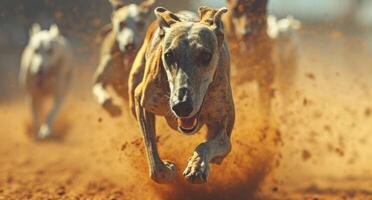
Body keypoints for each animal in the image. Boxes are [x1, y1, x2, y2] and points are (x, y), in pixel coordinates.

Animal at [128, 6, 232, 184]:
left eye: (206, 56)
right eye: (169, 55)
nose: (181, 106)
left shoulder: (224, 129)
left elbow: (213, 145)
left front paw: (197, 165)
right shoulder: (142, 100)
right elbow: (152, 155)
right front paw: (167, 170)